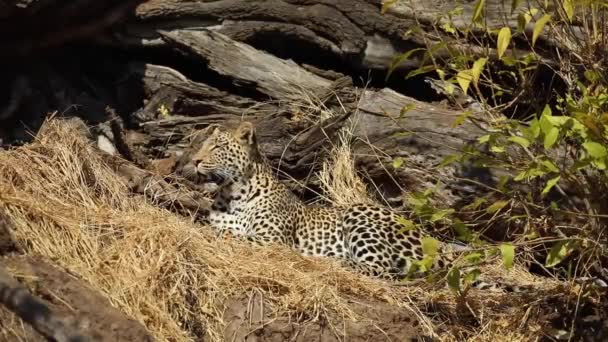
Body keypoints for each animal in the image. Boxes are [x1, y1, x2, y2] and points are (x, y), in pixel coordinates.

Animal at [191, 121, 528, 290]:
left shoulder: (272, 239)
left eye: (217, 146)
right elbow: (220, 230)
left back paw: (331, 261)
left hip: (360, 216)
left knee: (386, 271)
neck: (234, 193)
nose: (194, 160)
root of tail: (433, 243)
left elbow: (235, 236)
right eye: (203, 144)